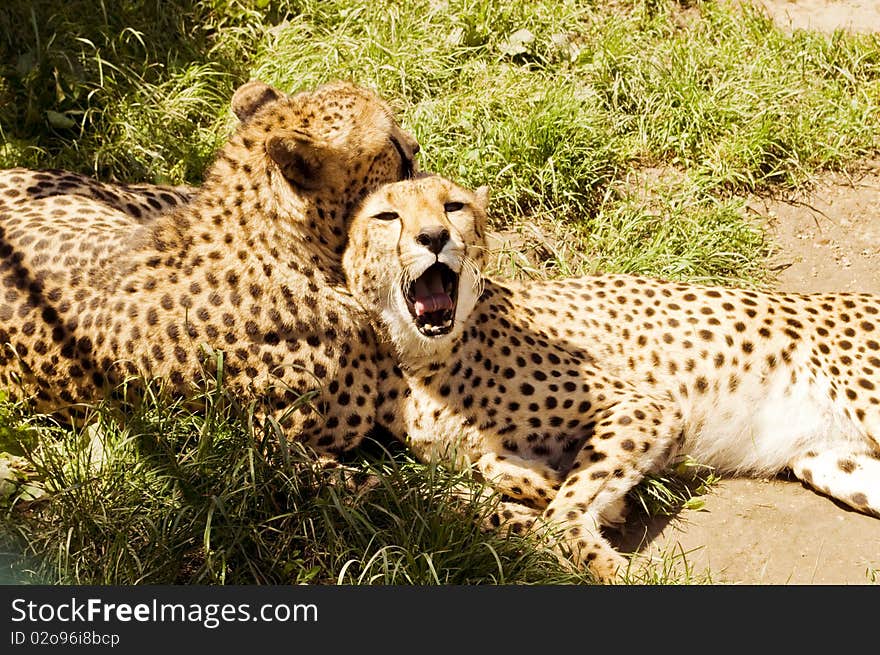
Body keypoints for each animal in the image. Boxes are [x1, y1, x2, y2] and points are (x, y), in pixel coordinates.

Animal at [342, 176, 880, 584]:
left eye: (453, 206)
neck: (425, 354)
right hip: (833, 461)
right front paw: (559, 491)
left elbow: (563, 509)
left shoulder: (645, 405)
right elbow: (488, 470)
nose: (434, 237)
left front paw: (607, 559)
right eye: (387, 217)